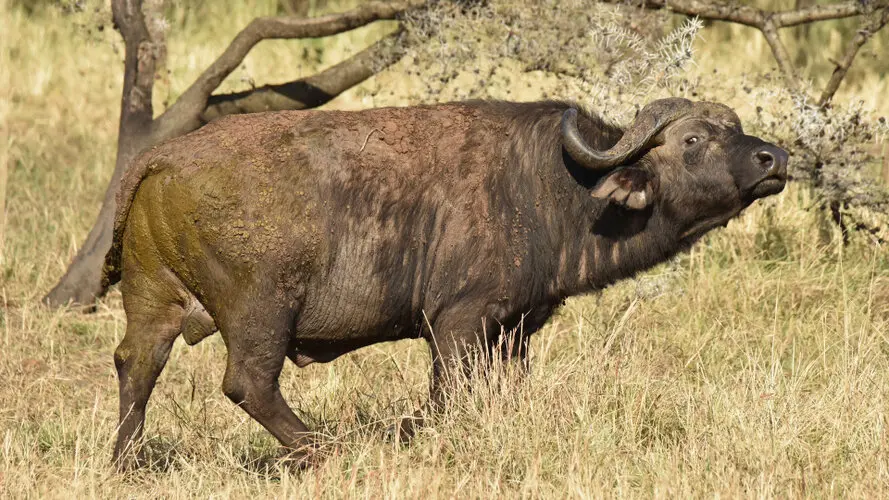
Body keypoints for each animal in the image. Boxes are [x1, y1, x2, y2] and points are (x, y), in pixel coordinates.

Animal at [102, 97, 784, 468]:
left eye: (735, 132)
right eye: (693, 139)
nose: (773, 158)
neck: (554, 185)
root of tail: (164, 158)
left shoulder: (514, 331)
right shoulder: (457, 323)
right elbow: (445, 399)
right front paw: (407, 434)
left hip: (155, 303)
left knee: (136, 363)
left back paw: (126, 462)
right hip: (263, 309)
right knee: (248, 383)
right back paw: (326, 450)